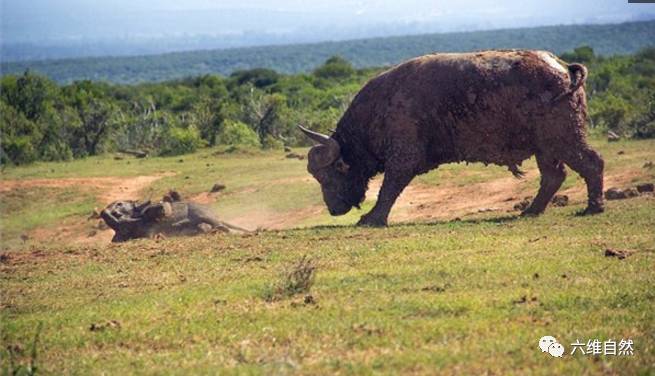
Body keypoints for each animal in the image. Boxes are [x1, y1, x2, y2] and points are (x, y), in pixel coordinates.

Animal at [302, 50, 604, 226]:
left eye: (329, 176)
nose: (333, 209)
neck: (380, 107)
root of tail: (564, 68)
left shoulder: (402, 158)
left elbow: (389, 188)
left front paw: (372, 218)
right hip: (546, 147)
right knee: (554, 176)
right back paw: (531, 210)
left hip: (564, 138)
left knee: (592, 163)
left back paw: (593, 208)